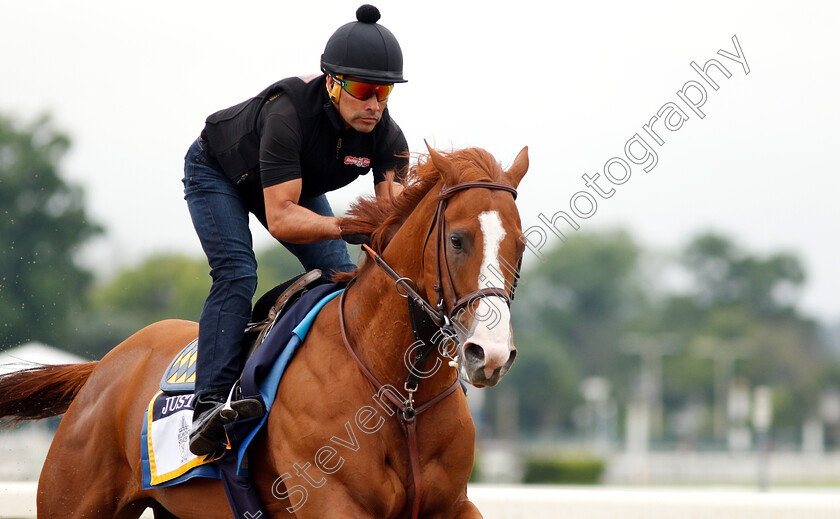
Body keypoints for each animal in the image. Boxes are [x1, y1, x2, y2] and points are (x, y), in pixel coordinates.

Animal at [0, 145, 524, 519]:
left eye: (518, 245)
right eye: (457, 239)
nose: (490, 354)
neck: (402, 394)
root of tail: (102, 369)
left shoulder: (452, 505)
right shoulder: (332, 501)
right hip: (72, 500)